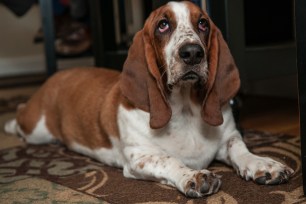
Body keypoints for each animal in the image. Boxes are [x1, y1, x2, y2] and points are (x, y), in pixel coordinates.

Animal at [4, 0, 292, 198]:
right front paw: (194, 175)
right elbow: (169, 159)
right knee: (20, 113)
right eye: (163, 25)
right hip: (36, 129)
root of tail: (57, 75)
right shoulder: (139, 157)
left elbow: (240, 149)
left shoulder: (229, 137)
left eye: (203, 23)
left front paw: (263, 164)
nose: (192, 53)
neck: (185, 108)